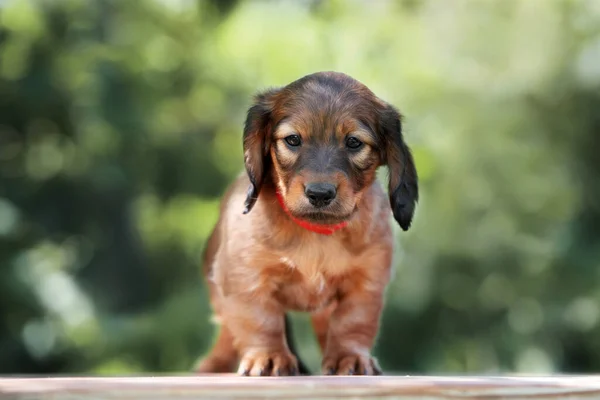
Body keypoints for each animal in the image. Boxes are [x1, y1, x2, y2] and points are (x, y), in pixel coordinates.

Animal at [196, 71, 418, 376]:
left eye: (354, 142)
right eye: (292, 139)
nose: (320, 193)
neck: (316, 232)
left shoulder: (366, 282)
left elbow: (352, 321)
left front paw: (349, 357)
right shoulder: (244, 276)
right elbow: (260, 319)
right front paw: (269, 356)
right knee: (228, 333)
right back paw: (214, 364)